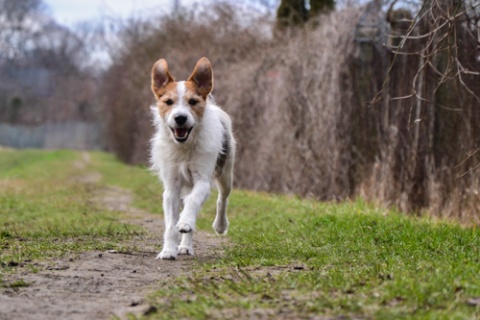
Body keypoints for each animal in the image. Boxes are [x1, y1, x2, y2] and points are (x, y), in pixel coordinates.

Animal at [148, 57, 234, 260]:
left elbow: (193, 201)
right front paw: (168, 250)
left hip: (226, 173)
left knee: (222, 199)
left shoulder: (202, 180)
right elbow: (170, 224)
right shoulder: (171, 188)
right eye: (168, 101)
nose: (180, 118)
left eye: (193, 101)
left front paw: (185, 222)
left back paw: (219, 225)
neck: (184, 146)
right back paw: (185, 246)